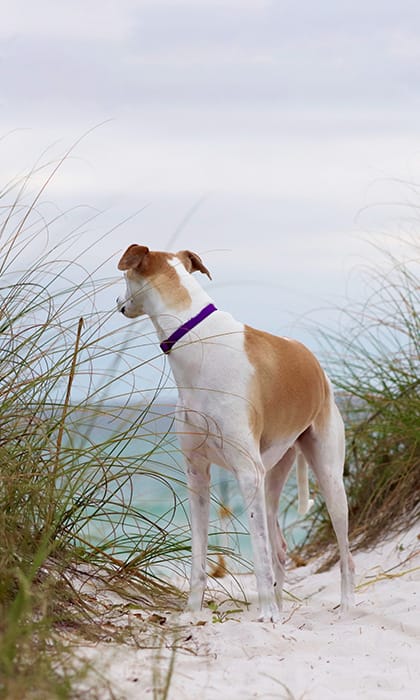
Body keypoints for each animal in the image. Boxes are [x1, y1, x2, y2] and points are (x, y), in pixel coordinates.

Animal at [117, 247, 354, 624]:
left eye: (125, 277)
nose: (118, 303)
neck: (197, 340)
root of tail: (312, 361)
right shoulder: (197, 474)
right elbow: (199, 554)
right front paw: (192, 612)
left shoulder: (246, 472)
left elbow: (259, 555)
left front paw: (267, 614)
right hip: (271, 476)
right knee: (279, 547)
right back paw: (281, 606)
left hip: (327, 477)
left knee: (344, 551)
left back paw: (342, 606)